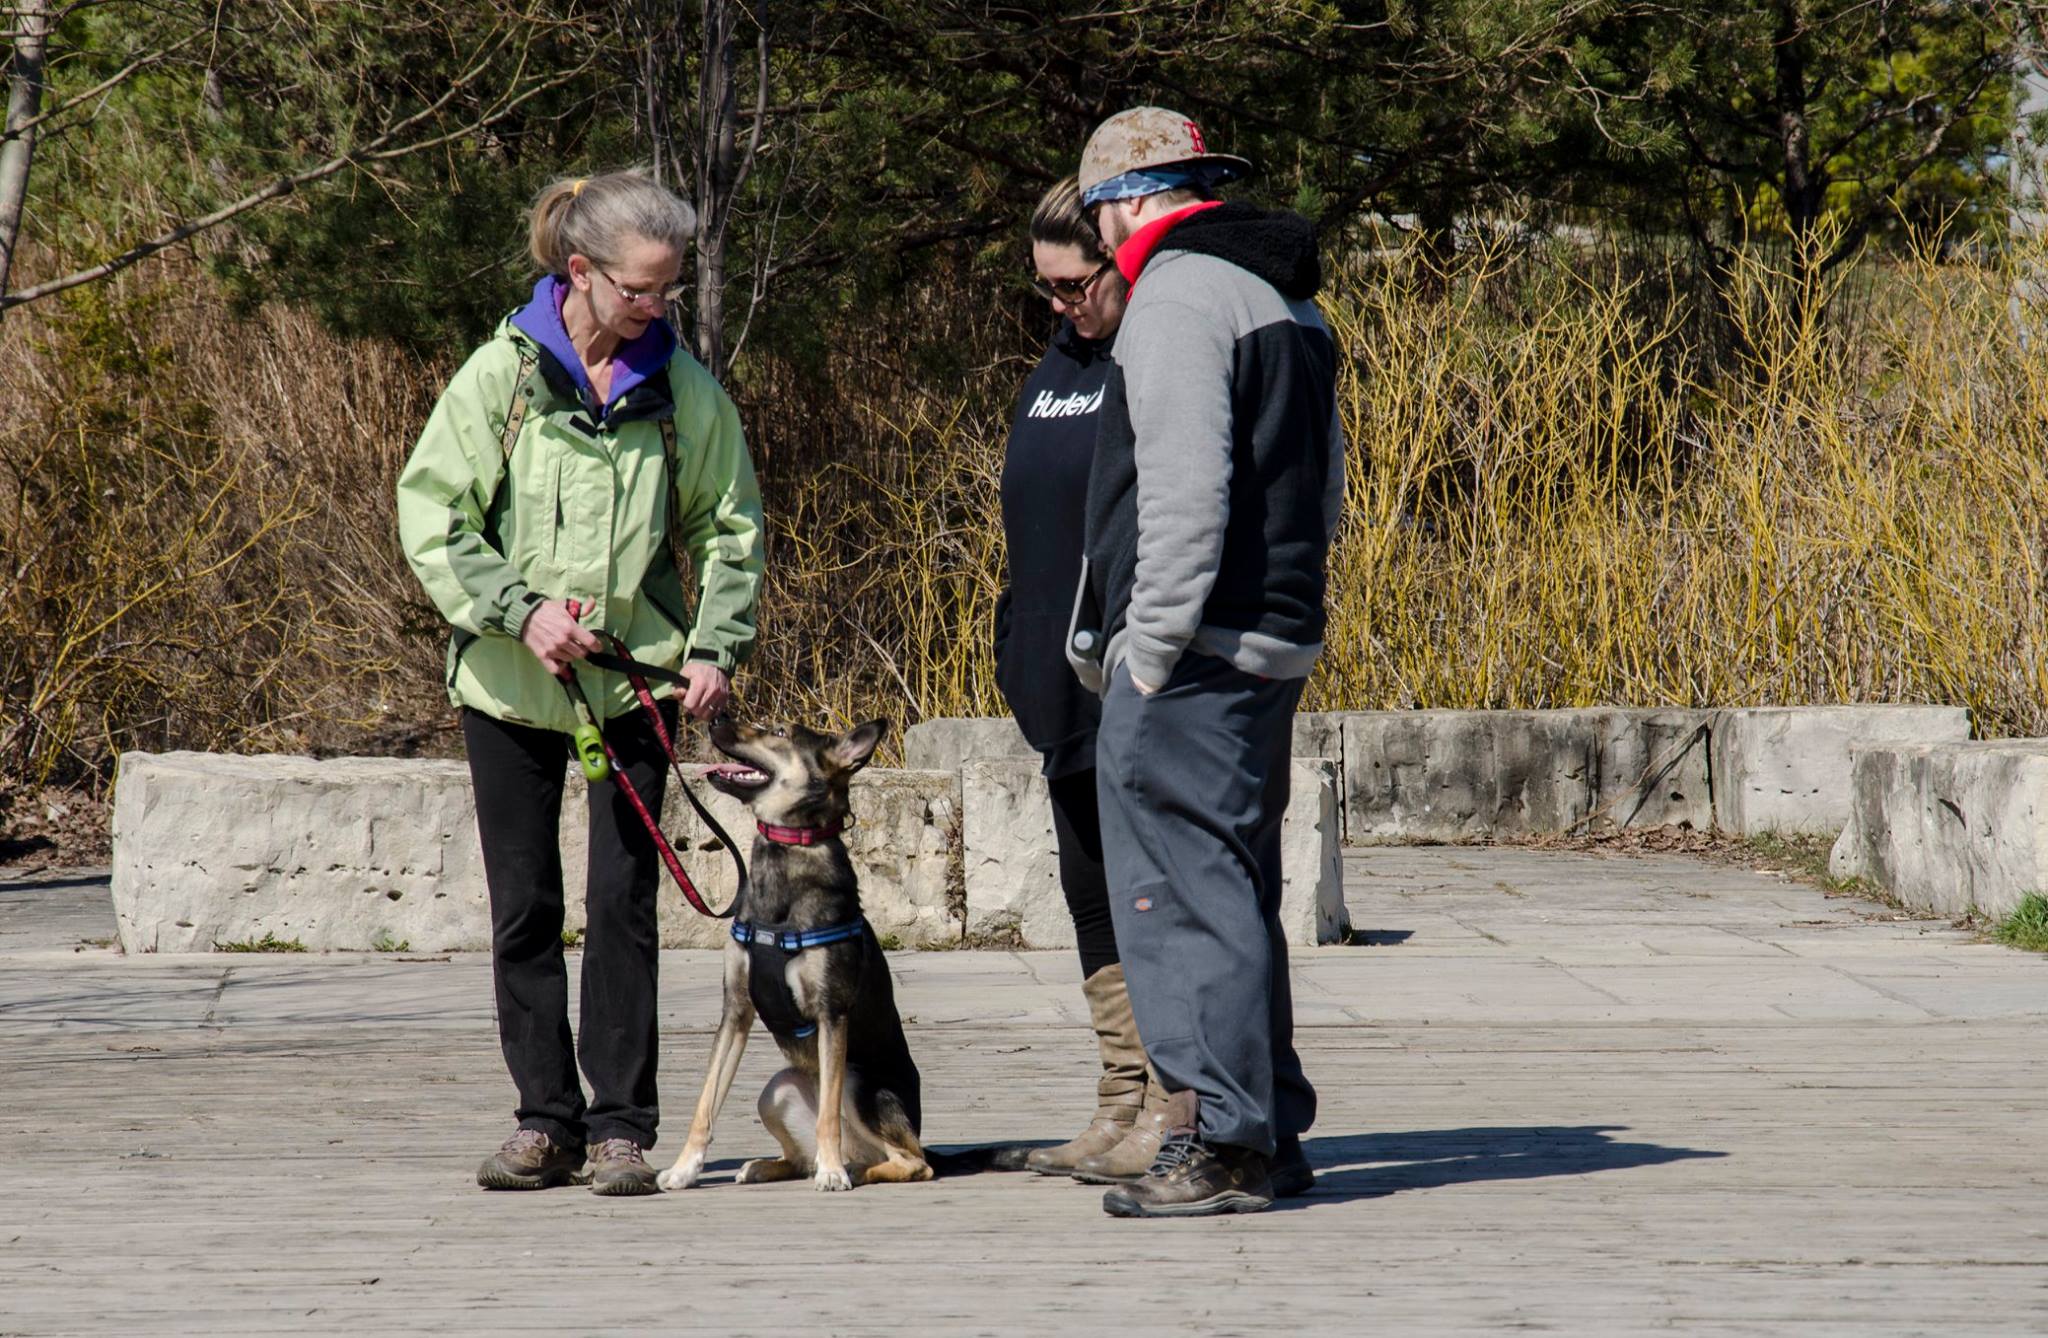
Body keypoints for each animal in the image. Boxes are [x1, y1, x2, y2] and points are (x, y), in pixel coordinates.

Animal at [655, 713, 937, 1196]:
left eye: (780, 732)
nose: (715, 717)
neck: (788, 849)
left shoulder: (831, 1014)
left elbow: (828, 1117)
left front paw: (833, 1173)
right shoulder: (736, 1011)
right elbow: (705, 1103)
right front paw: (684, 1168)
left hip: (860, 1082)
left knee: (914, 1162)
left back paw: (851, 1168)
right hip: (777, 1089)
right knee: (801, 1157)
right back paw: (768, 1166)